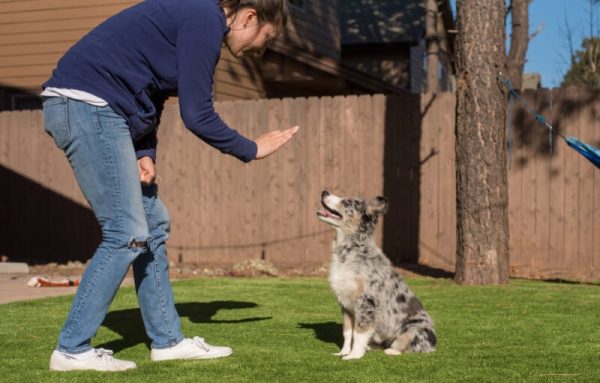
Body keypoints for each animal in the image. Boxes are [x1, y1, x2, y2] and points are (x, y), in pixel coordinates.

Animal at [318, 191, 436, 360]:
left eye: (347, 202)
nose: (324, 192)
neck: (349, 252)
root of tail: (433, 343)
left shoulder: (366, 302)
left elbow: (358, 333)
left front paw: (353, 355)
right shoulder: (345, 304)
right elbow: (347, 332)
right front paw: (343, 352)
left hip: (415, 328)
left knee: (410, 346)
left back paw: (392, 350)